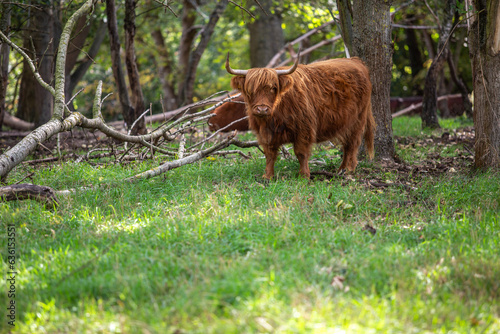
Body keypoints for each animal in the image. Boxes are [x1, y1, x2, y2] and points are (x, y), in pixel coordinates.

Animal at [227, 54, 376, 180]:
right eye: (250, 90)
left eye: (273, 88)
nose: (262, 109)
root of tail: (355, 61)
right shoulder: (265, 133)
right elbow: (270, 155)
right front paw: (267, 176)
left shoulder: (304, 129)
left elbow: (301, 153)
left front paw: (304, 176)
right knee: (346, 146)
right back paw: (341, 170)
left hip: (357, 120)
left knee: (352, 144)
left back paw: (349, 170)